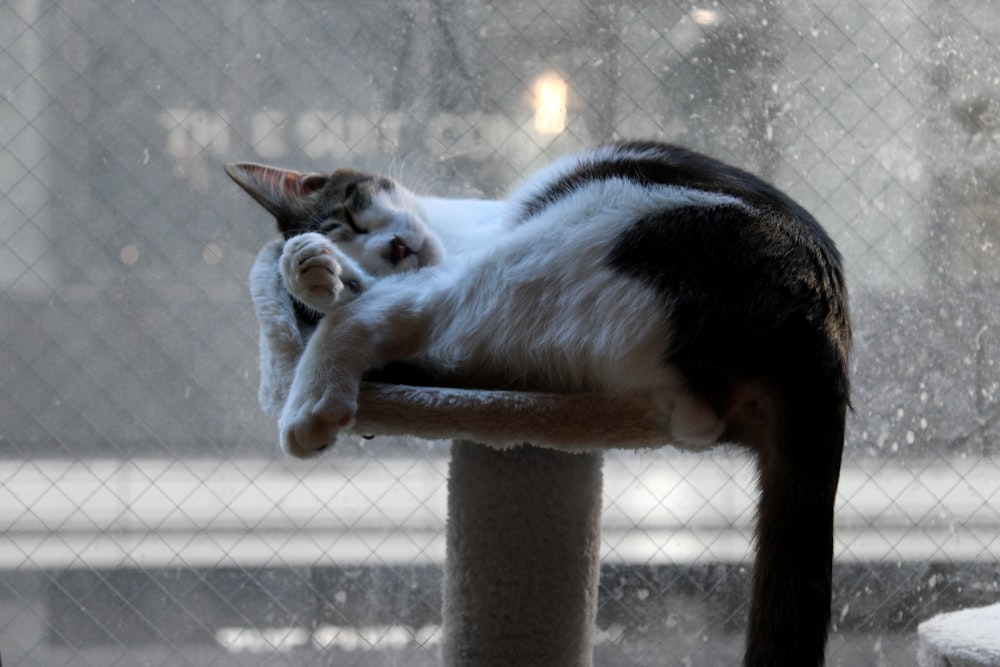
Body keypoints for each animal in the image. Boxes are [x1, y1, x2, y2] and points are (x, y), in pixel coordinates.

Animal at [227, 138, 852, 664]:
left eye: (357, 218)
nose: (395, 247)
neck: (453, 238)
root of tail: (822, 339)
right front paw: (317, 268)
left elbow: (359, 300)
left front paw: (314, 268)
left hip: (562, 240)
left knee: (380, 315)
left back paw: (313, 398)